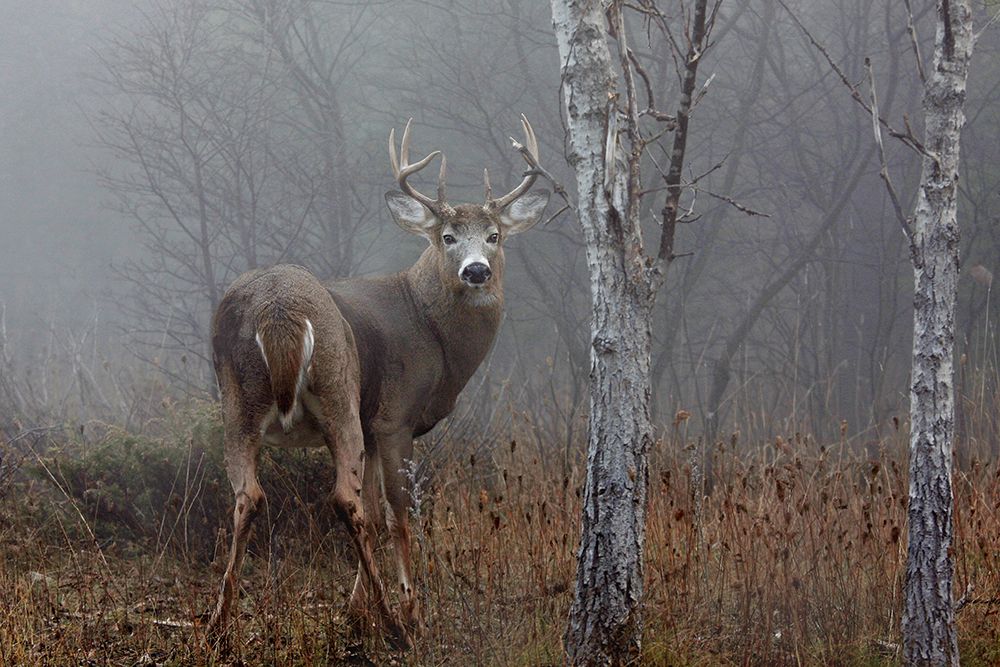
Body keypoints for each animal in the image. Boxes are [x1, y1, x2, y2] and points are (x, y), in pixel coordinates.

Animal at [203, 116, 548, 648]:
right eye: (447, 237)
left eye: (494, 235)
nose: (476, 271)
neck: (428, 327)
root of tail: (278, 311)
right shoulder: (392, 417)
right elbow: (397, 510)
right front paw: (408, 611)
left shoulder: (371, 426)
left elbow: (372, 506)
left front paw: (355, 611)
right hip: (338, 389)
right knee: (343, 499)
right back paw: (394, 621)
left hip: (238, 400)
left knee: (251, 496)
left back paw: (220, 624)